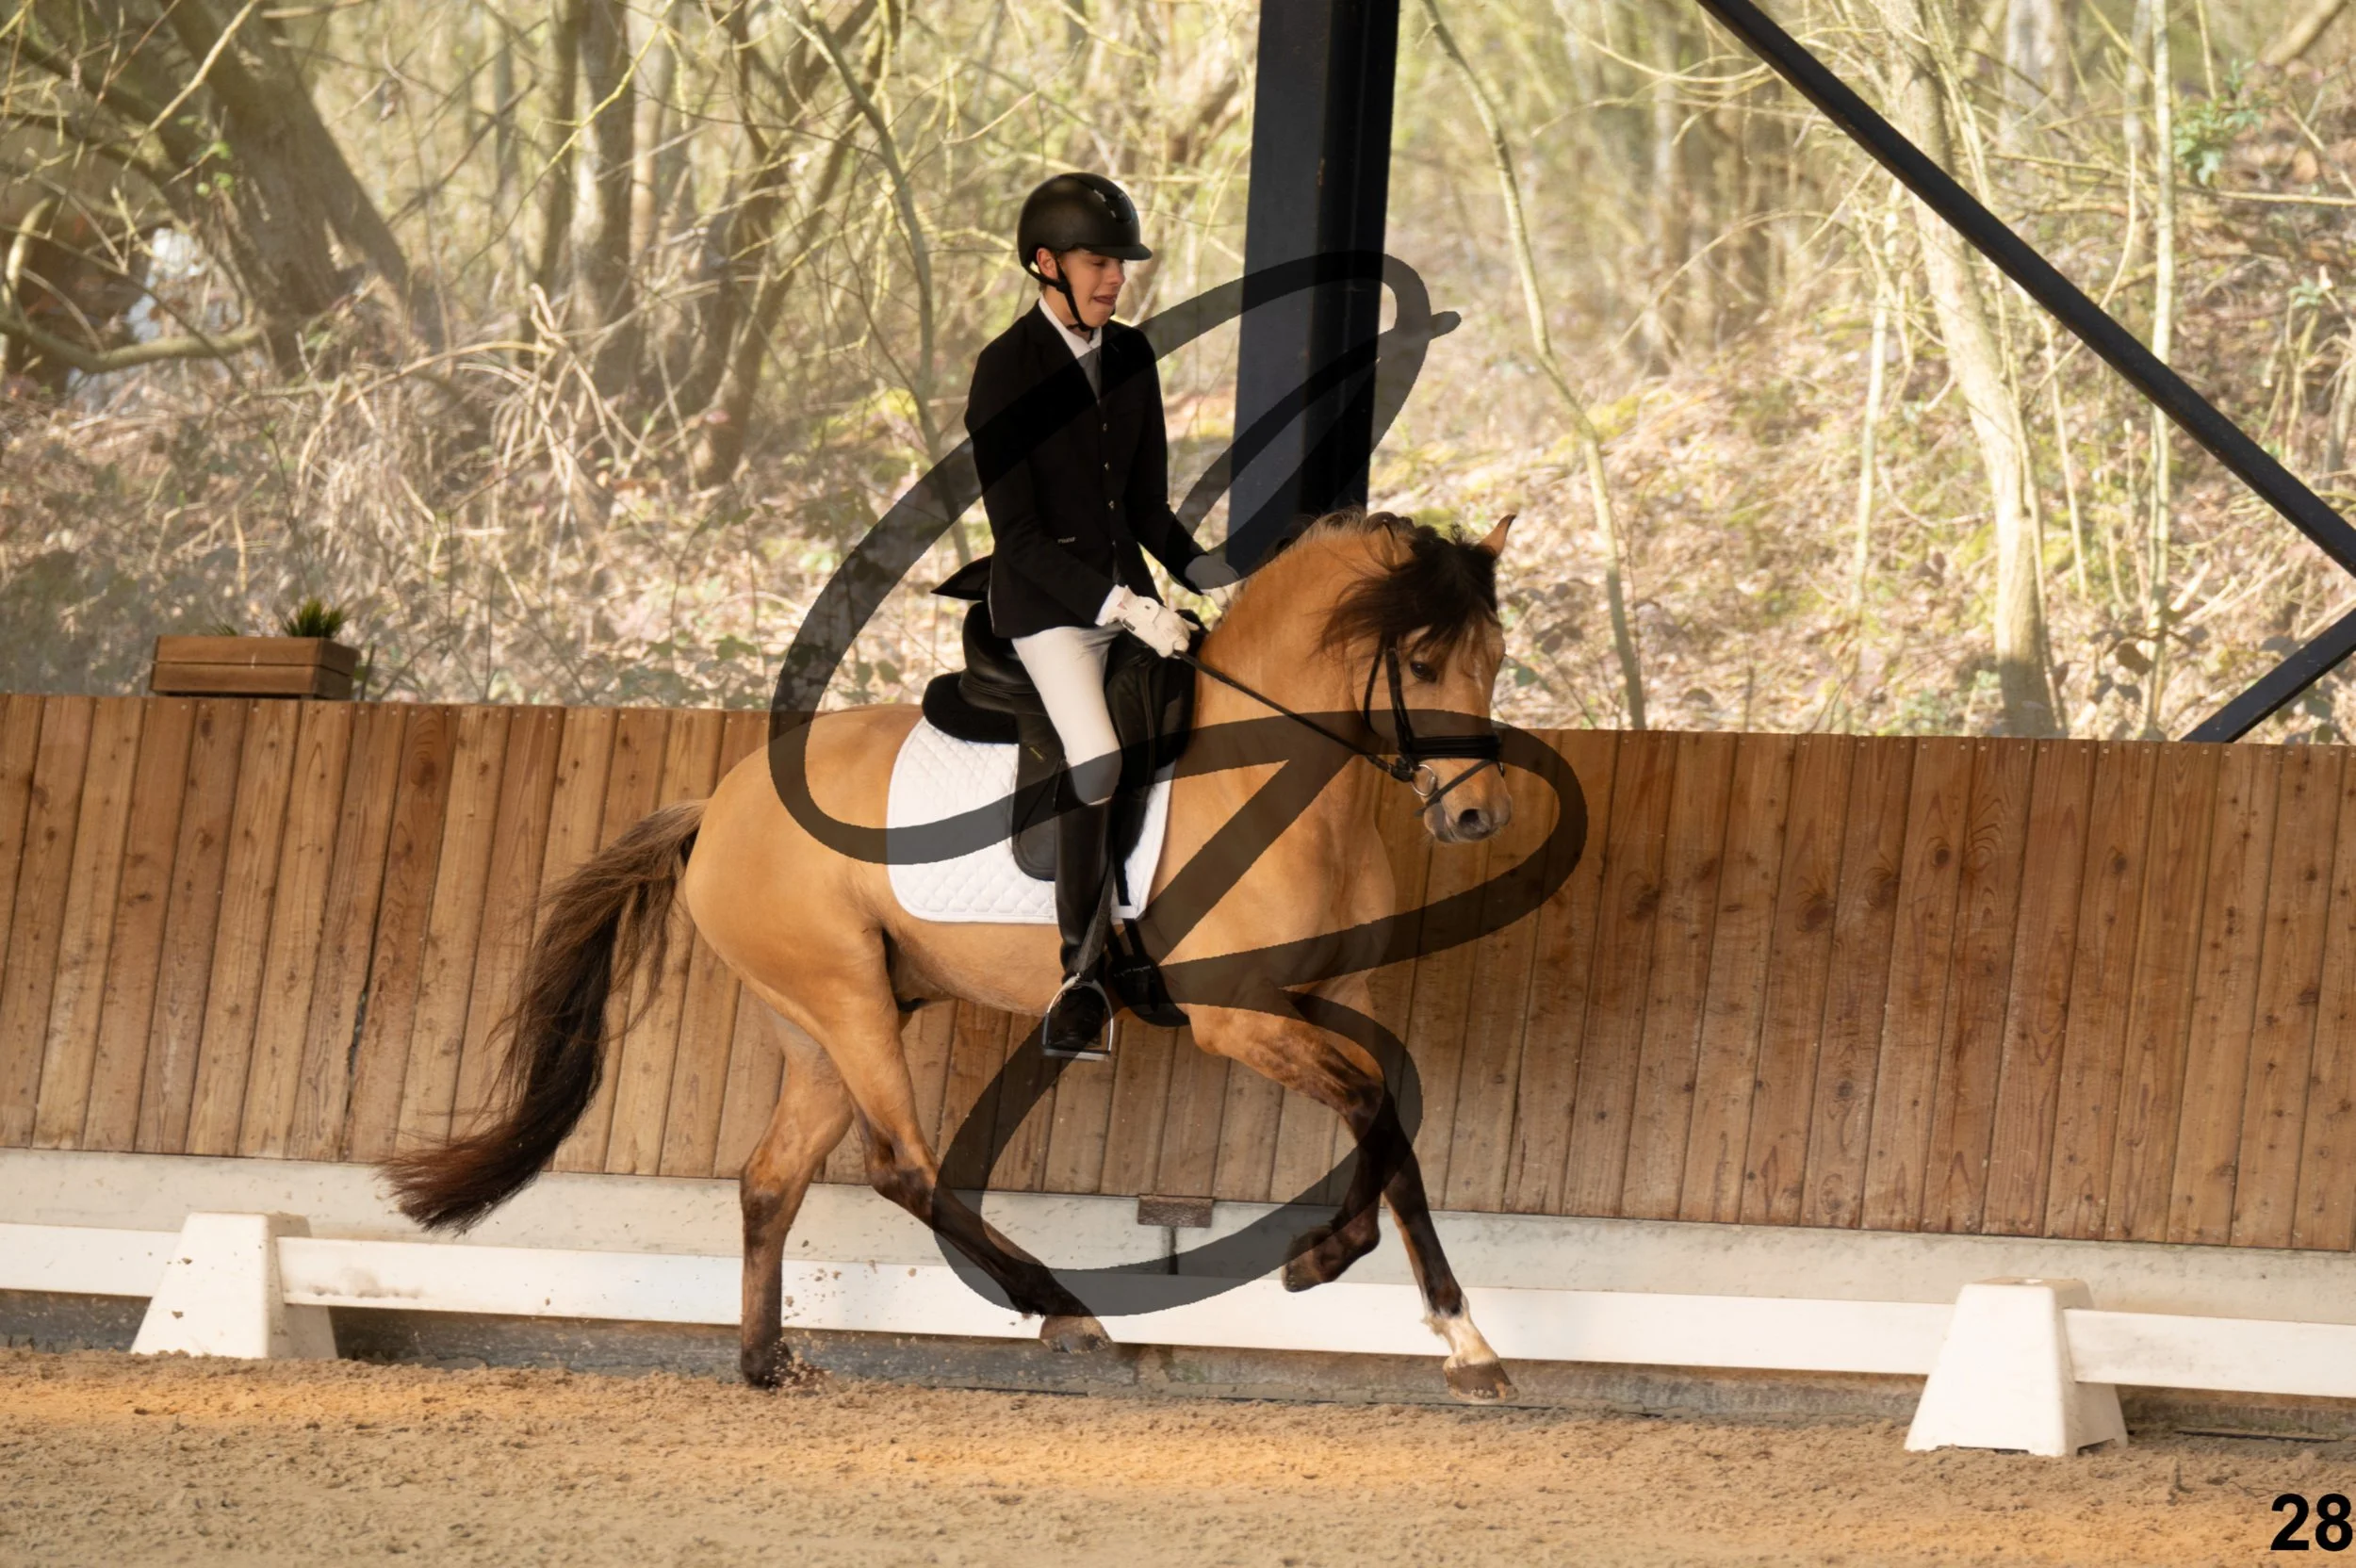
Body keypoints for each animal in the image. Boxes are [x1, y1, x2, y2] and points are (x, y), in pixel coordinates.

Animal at [387, 507, 1528, 1401]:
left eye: (1495, 660)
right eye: (1422, 662)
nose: (1476, 815)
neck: (1275, 780)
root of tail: (717, 805)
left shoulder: (1324, 998)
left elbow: (1387, 1120)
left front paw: (1454, 1334)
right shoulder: (1236, 1017)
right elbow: (1373, 1106)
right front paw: (1327, 1267)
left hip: (817, 1026)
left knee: (771, 1179)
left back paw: (767, 1364)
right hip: (845, 998)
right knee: (901, 1164)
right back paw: (1063, 1311)